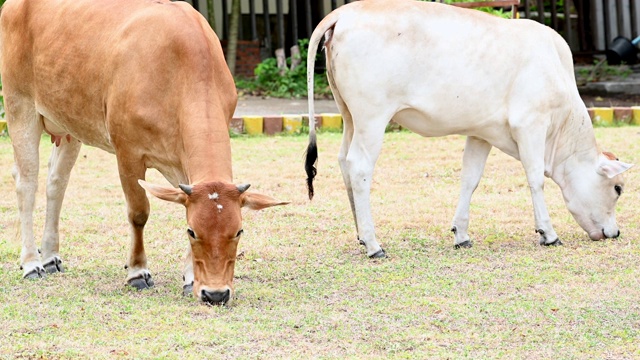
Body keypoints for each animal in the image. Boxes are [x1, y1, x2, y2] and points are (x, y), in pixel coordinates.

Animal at [0, 0, 286, 306]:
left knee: (56, 182)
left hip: (69, 125)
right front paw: (137, 271)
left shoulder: (182, 164)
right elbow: (138, 213)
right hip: (20, 105)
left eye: (239, 230)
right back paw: (32, 263)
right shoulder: (128, 152)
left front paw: (189, 279)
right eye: (192, 231)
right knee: (27, 183)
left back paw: (51, 256)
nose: (216, 294)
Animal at [304, 0, 632, 258]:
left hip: (350, 117)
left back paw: (361, 236)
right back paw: (374, 244)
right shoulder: (530, 124)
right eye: (617, 188)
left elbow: (469, 180)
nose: (614, 233)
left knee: (343, 162)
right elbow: (535, 178)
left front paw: (461, 235)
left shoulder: (481, 132)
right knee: (360, 167)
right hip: (372, 118)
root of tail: (345, 12)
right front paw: (548, 234)